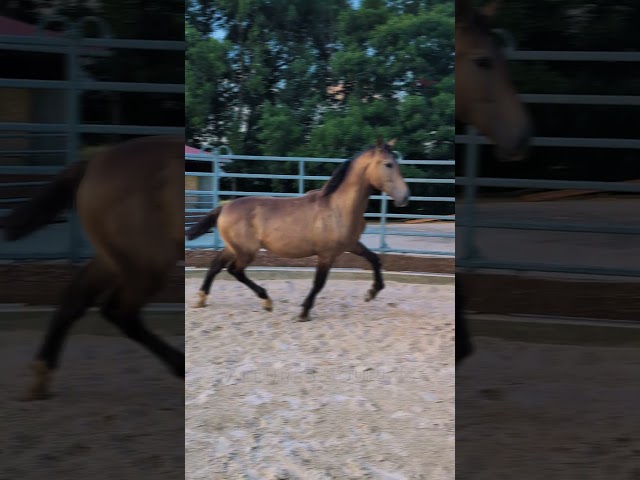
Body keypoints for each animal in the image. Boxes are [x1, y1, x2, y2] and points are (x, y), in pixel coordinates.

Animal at [4, 135, 185, 400]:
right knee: (119, 311)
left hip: (117, 260)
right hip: (148, 263)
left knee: (77, 299)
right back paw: (181, 366)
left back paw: (41, 377)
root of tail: (92, 164)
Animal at [186, 137, 410, 321]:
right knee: (235, 270)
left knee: (216, 265)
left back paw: (202, 299)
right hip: (246, 251)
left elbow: (374, 259)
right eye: (388, 164)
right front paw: (304, 311)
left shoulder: (351, 245)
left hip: (235, 248)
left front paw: (372, 292)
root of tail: (225, 207)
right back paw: (266, 300)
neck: (338, 207)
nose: (405, 197)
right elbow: (319, 283)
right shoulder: (327, 254)